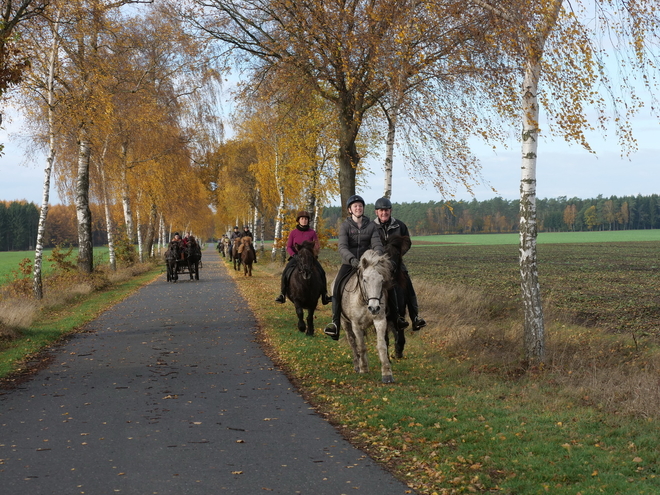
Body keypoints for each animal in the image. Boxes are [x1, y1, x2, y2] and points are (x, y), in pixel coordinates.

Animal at [332, 252, 394, 384]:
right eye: (364, 280)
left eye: (382, 280)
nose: (374, 308)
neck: (364, 301)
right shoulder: (356, 325)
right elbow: (361, 346)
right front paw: (364, 368)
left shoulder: (380, 321)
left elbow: (382, 346)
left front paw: (387, 373)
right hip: (344, 323)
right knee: (352, 342)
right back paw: (357, 365)